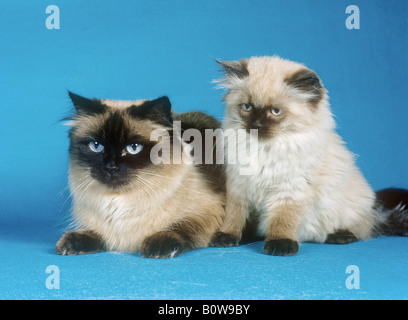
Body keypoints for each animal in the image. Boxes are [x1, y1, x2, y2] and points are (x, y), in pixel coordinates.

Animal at [55, 92, 225, 258]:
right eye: (96, 146)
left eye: (134, 147)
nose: (111, 167)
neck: (119, 201)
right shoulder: (105, 232)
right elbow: (93, 234)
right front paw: (69, 244)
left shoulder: (208, 212)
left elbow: (179, 228)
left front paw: (156, 247)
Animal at [210, 55, 408, 255]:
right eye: (247, 107)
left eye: (275, 111)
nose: (256, 124)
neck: (264, 148)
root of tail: (376, 211)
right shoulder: (238, 187)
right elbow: (233, 217)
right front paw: (225, 237)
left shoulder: (290, 191)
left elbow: (282, 220)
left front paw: (280, 245)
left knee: (361, 229)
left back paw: (340, 236)